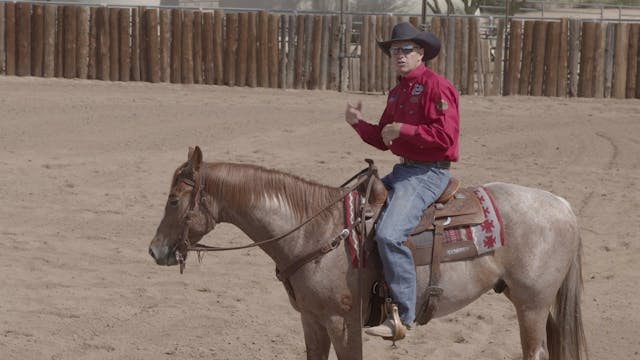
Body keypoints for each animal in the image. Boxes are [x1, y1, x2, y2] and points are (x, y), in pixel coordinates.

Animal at [149, 146, 584, 360]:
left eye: (173, 200)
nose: (155, 251)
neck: (315, 231)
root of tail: (563, 205)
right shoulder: (312, 320)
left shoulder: (343, 322)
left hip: (531, 305)